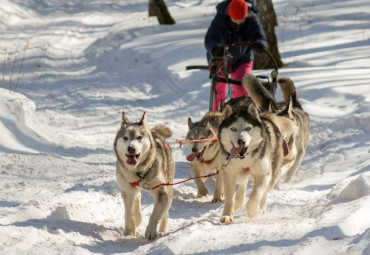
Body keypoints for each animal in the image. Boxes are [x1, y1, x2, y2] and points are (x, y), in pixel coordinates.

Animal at [112, 111, 175, 239]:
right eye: (125, 138)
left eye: (139, 137)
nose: (131, 148)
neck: (139, 172)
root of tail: (154, 132)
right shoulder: (127, 191)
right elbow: (128, 212)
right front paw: (129, 231)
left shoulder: (162, 193)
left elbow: (155, 214)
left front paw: (150, 230)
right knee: (137, 196)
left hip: (168, 189)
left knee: (165, 213)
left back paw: (162, 230)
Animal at [218, 73, 308, 221]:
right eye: (233, 128)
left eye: (248, 128)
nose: (241, 141)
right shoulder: (228, 173)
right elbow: (230, 197)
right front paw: (227, 215)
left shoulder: (264, 174)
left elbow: (256, 195)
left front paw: (252, 210)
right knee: (243, 184)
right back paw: (239, 201)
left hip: (273, 171)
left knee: (264, 192)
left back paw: (260, 209)